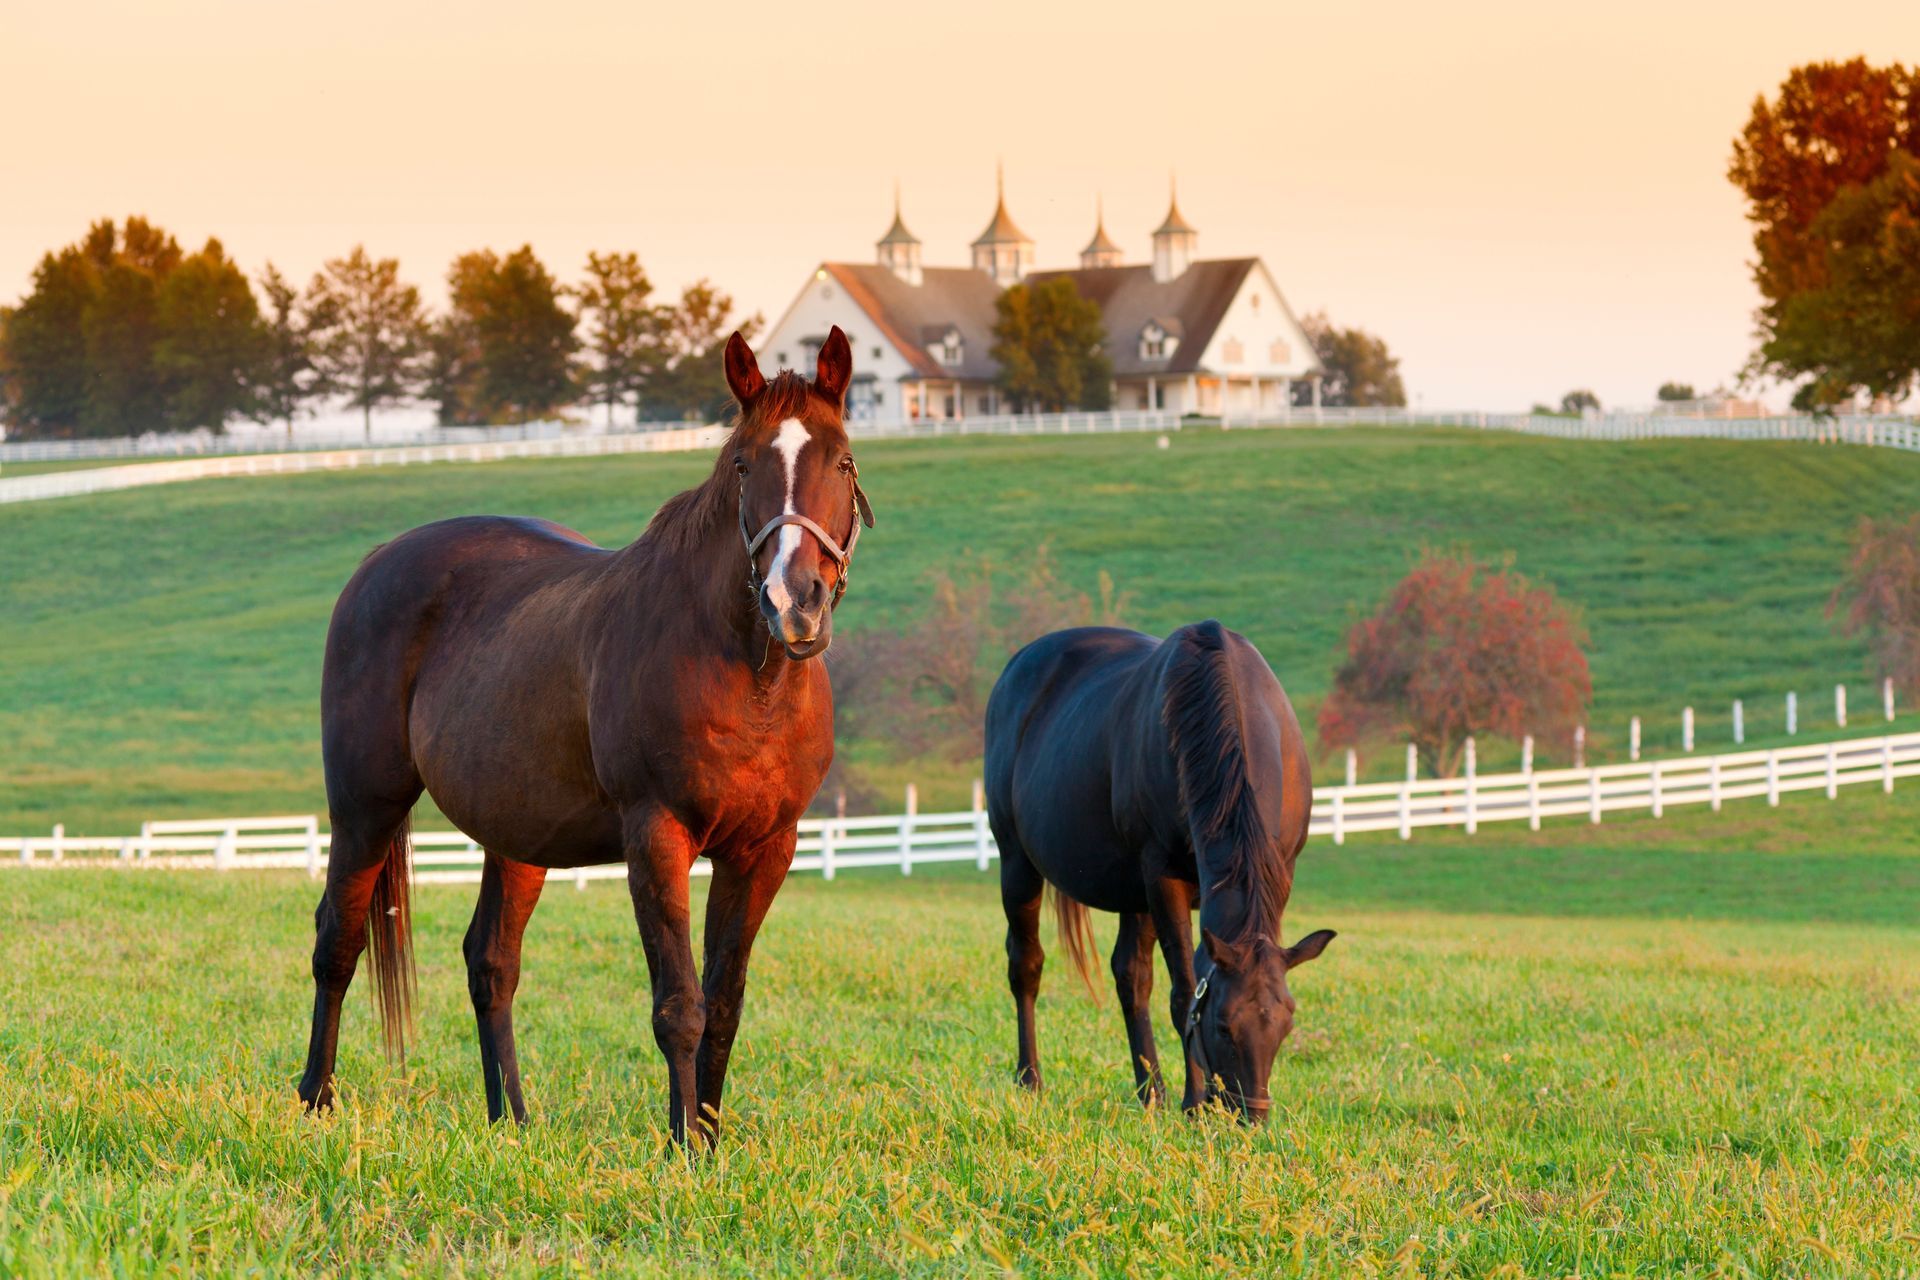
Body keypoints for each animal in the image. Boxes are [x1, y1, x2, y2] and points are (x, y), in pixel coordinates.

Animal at [296, 326, 875, 1146]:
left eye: (843, 461)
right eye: (742, 463)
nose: (795, 601)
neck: (744, 676)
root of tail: (379, 562)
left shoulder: (765, 850)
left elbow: (724, 1004)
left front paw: (709, 1140)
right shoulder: (657, 836)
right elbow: (680, 1005)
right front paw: (682, 1149)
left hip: (516, 834)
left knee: (491, 963)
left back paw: (511, 1119)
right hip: (364, 807)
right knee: (337, 942)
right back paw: (316, 1099)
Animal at [982, 620, 1335, 1120]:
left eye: (1285, 1023)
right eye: (1223, 1026)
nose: (1250, 1115)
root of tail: (1017, 666)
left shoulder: (1277, 875)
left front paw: (1184, 1097)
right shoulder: (1162, 878)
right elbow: (1184, 992)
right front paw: (1194, 1102)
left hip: (1132, 892)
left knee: (1130, 977)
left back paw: (1150, 1092)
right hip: (1018, 863)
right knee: (1025, 965)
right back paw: (1030, 1078)